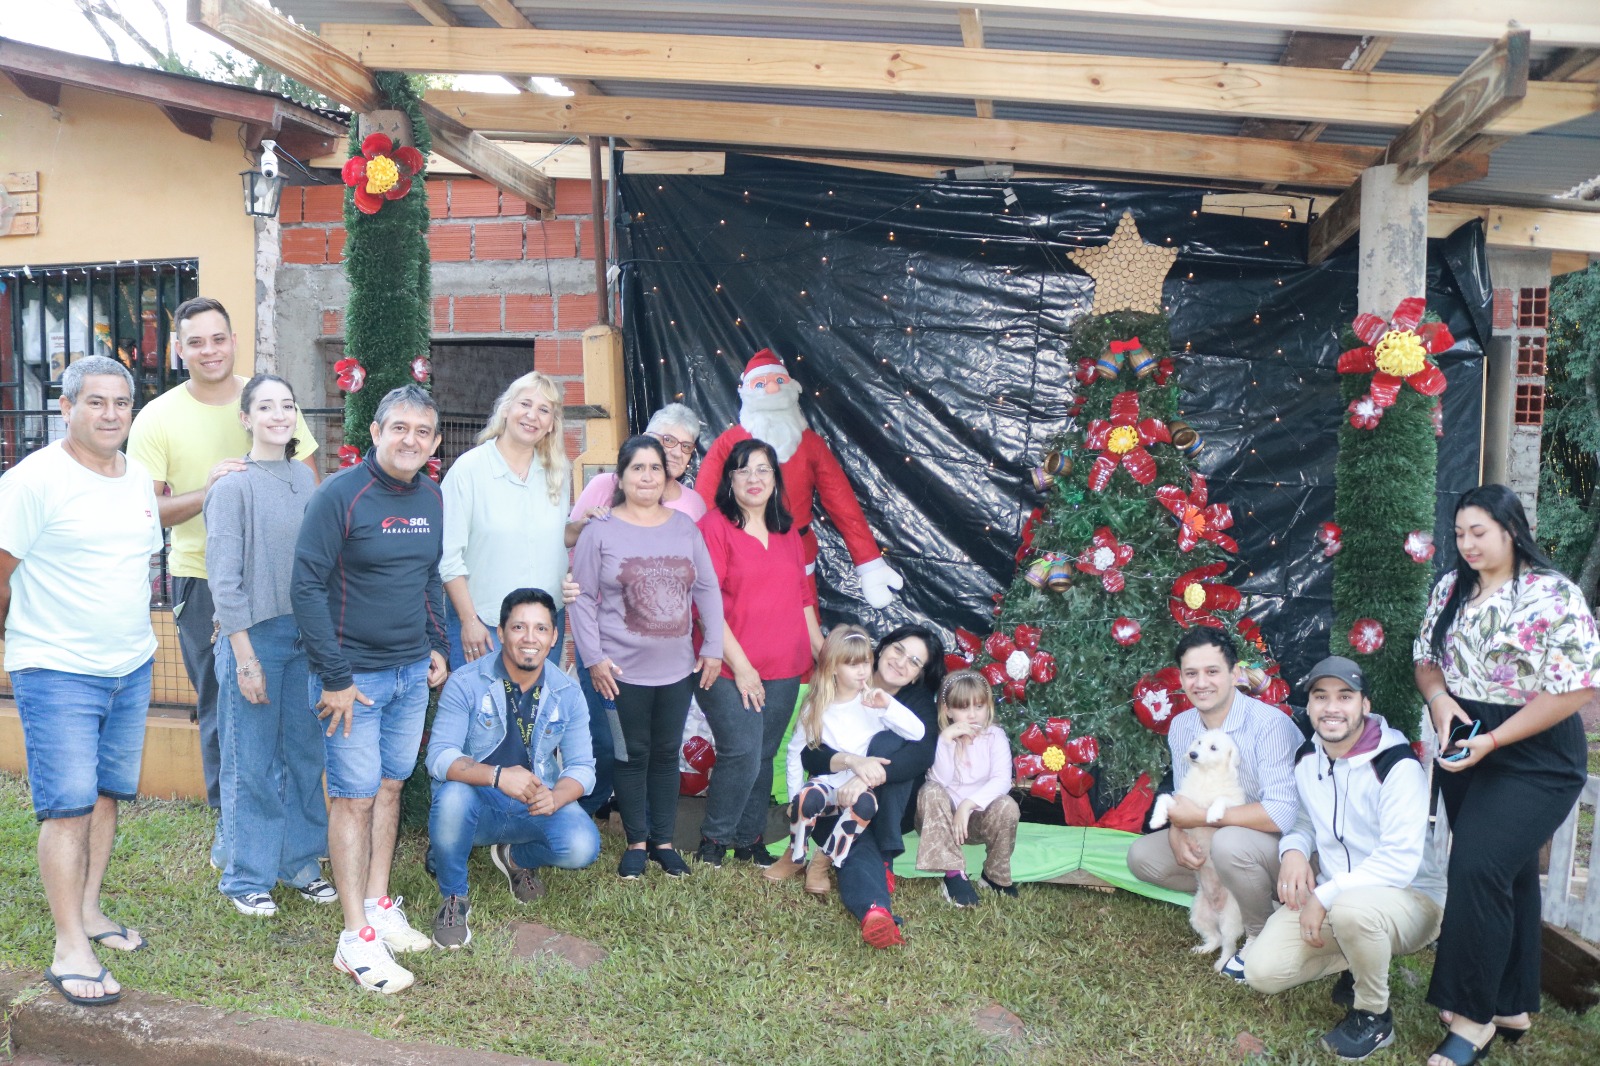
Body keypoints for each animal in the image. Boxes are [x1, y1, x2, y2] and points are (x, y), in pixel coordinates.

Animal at [1152, 726, 1248, 966]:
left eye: (1213, 747)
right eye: (1198, 742)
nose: (1193, 755)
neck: (1206, 776)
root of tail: (1216, 910)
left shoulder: (1236, 804)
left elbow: (1221, 800)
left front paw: (1213, 813)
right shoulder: (1181, 801)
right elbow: (1164, 798)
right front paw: (1156, 820)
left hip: (1230, 919)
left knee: (1229, 944)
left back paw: (1221, 964)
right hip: (1198, 914)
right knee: (1215, 938)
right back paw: (1203, 950)